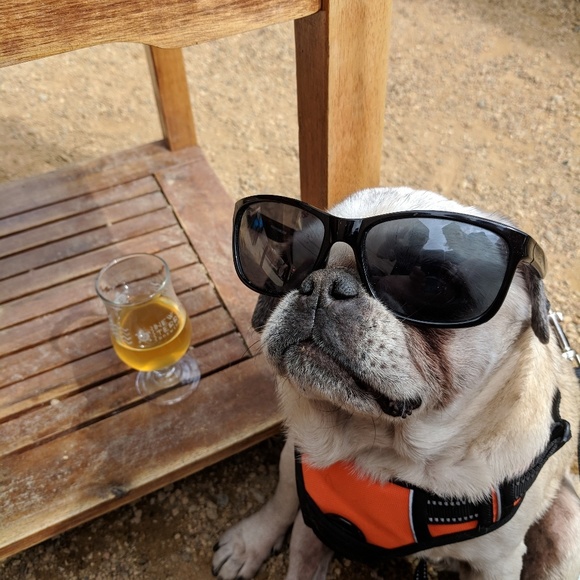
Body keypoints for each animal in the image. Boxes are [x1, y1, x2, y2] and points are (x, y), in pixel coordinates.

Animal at [212, 187, 580, 579]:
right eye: (293, 264)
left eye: (433, 286)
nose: (323, 283)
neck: (378, 451)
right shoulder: (299, 462)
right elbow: (283, 497)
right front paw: (251, 542)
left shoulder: (497, 564)